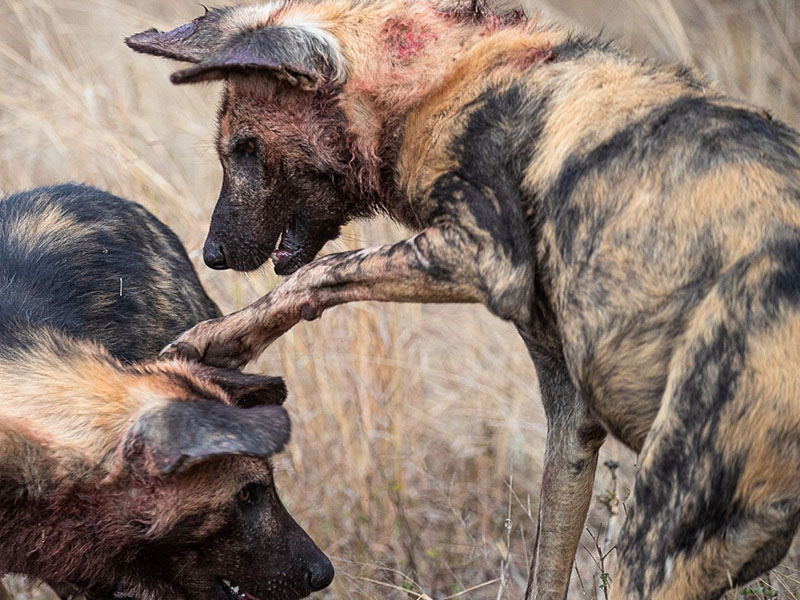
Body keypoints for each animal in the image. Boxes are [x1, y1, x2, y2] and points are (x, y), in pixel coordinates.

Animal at [128, 4, 800, 600]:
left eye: (244, 147)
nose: (212, 252)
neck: (440, 79)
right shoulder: (572, 421)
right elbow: (546, 568)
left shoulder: (481, 254)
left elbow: (317, 275)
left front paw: (215, 342)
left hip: (660, 541)